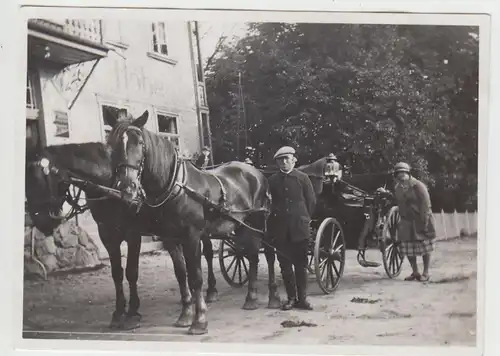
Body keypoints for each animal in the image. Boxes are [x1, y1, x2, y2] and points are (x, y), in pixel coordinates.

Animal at [105, 111, 280, 336]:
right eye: (113, 144)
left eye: (141, 143)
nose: (128, 187)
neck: (175, 187)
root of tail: (256, 172)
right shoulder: (170, 239)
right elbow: (182, 275)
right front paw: (185, 315)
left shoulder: (192, 237)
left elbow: (196, 277)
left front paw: (200, 320)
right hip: (241, 226)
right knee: (251, 256)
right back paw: (251, 298)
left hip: (259, 222)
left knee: (268, 255)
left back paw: (273, 296)